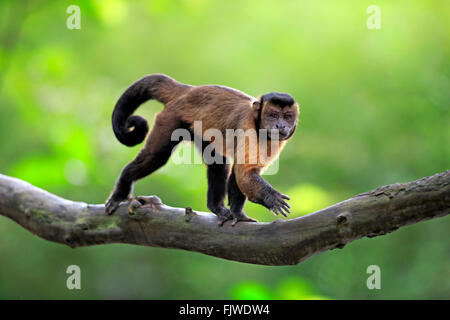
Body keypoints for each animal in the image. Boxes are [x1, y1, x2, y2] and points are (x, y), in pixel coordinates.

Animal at [106, 74, 300, 226]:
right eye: (273, 115)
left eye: (287, 117)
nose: (281, 125)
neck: (259, 127)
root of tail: (187, 90)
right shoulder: (247, 127)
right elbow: (244, 172)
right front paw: (271, 197)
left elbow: (241, 173)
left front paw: (238, 214)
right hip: (172, 117)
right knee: (155, 156)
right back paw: (121, 189)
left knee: (218, 162)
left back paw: (216, 207)